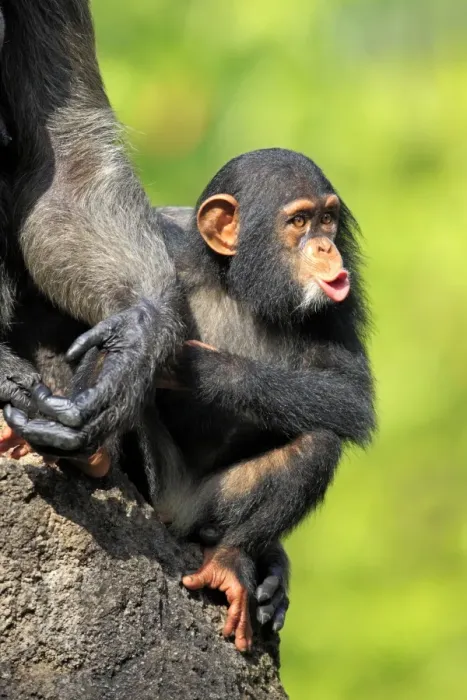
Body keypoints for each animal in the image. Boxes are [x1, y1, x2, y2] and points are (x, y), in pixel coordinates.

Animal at [5, 148, 375, 652]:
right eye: (299, 221)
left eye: (328, 219)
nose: (325, 247)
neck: (233, 283)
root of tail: (172, 514)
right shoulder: (163, 250)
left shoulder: (339, 306)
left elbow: (350, 393)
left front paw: (195, 367)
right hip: (156, 477)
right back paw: (90, 456)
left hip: (206, 508)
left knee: (318, 440)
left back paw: (231, 561)